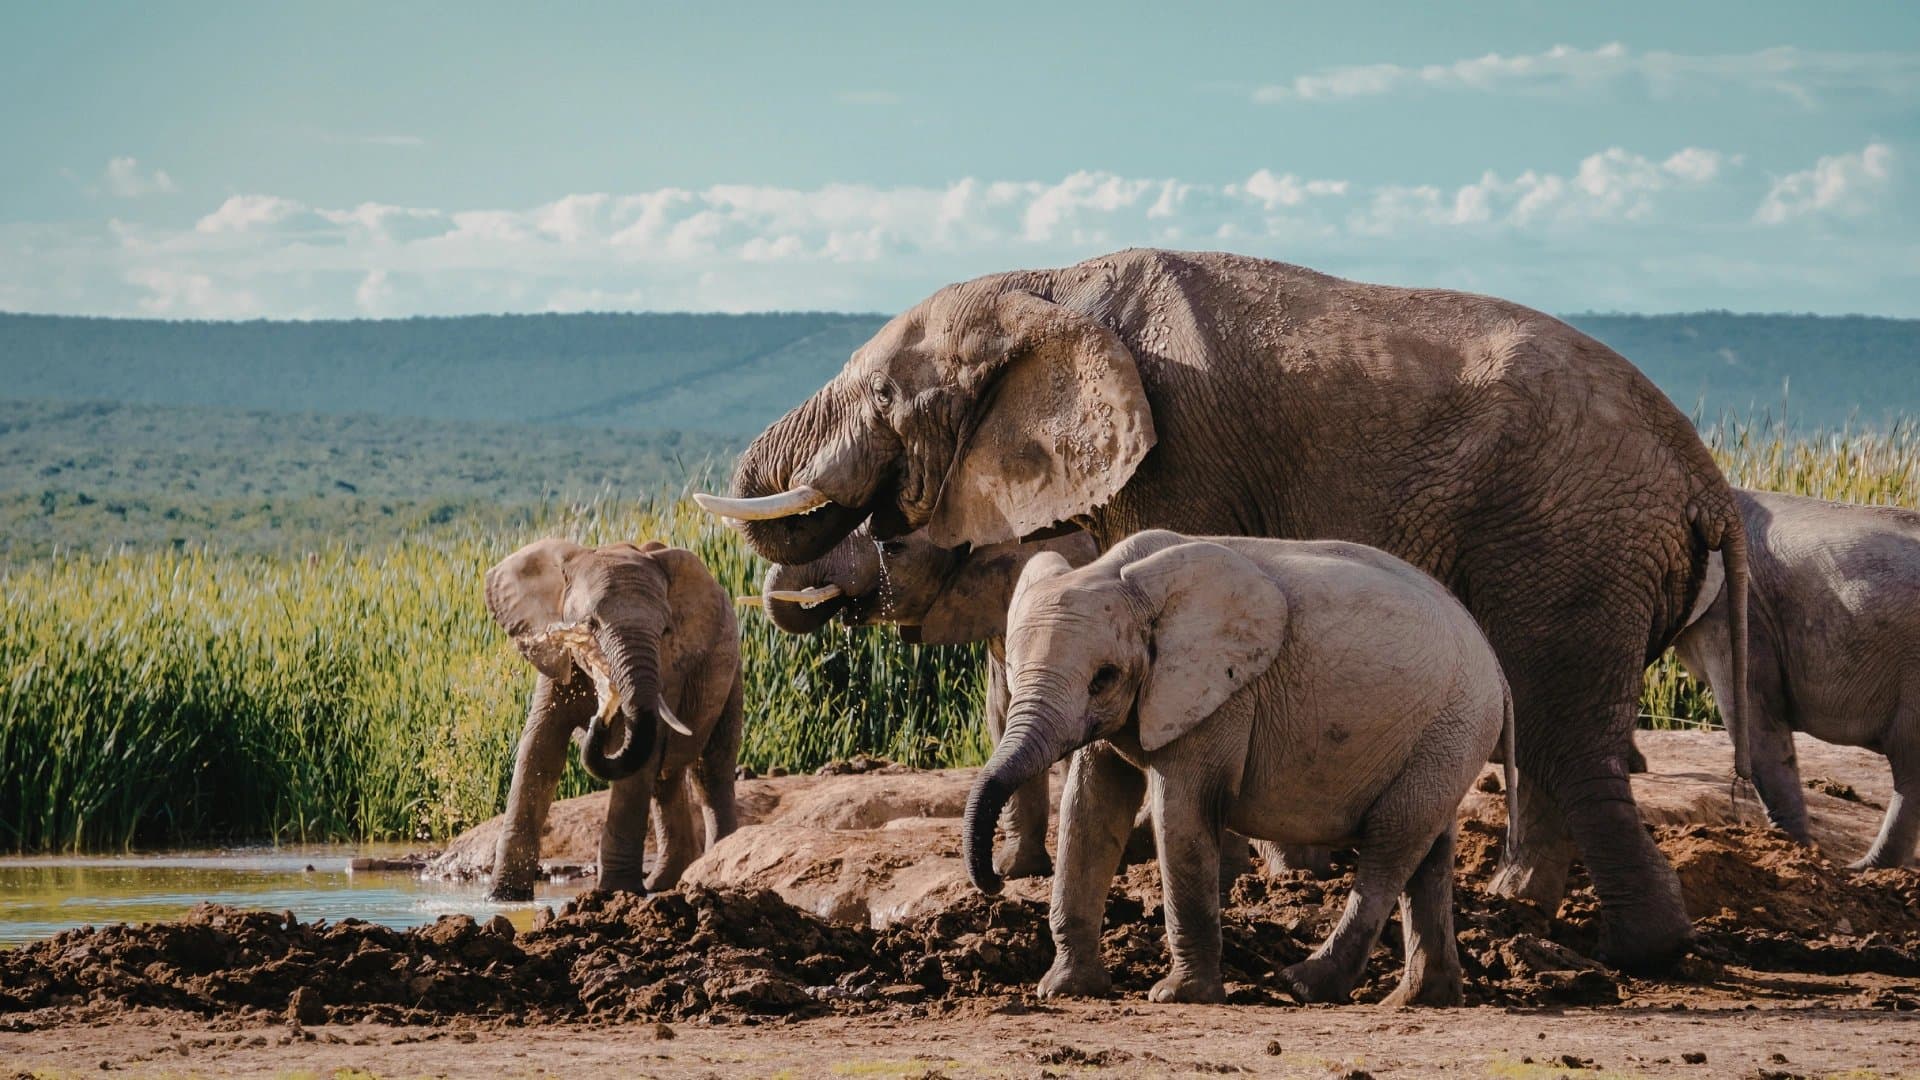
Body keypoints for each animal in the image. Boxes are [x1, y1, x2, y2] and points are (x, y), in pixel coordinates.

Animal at [483, 538, 742, 901]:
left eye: (666, 630)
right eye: (590, 624)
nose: (600, 718)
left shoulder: (669, 667)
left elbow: (636, 760)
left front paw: (615, 892)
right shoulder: (556, 658)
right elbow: (540, 749)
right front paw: (503, 898)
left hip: (731, 673)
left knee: (711, 770)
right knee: (666, 779)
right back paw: (663, 885)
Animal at [963, 531, 1517, 1006]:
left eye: (1104, 677)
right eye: (1012, 670)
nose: (994, 882)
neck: (1122, 574)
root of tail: (1497, 667)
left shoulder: (1223, 699)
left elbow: (1180, 814)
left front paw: (1178, 997)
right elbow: (1090, 807)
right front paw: (1064, 990)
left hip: (1450, 726)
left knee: (1390, 844)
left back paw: (1303, 985)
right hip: (1443, 738)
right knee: (1428, 854)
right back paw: (1417, 1000)